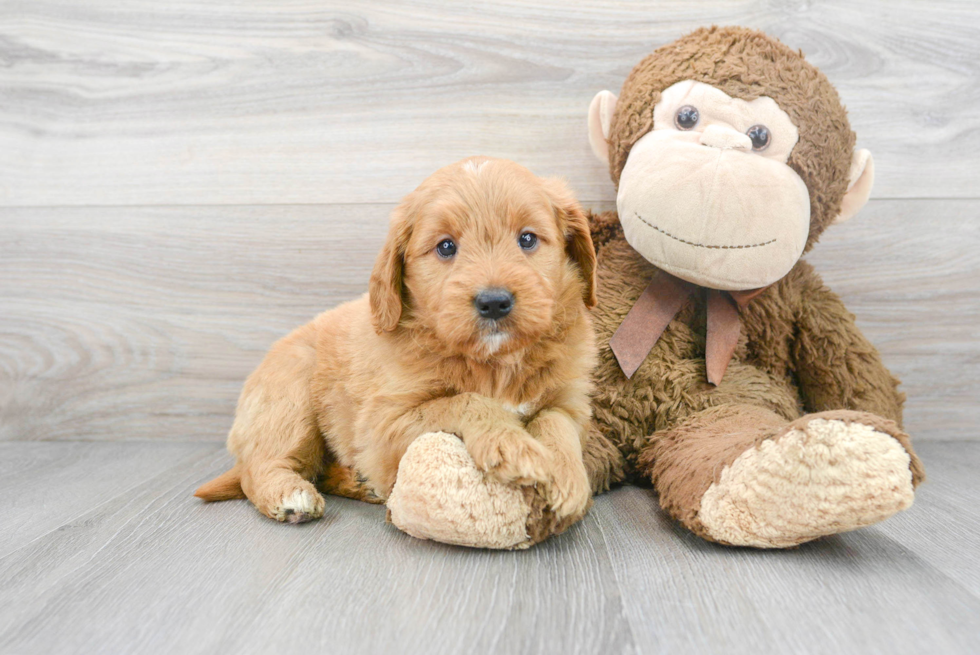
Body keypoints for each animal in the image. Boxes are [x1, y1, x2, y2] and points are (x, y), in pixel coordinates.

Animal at [195, 158, 596, 528]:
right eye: (446, 247)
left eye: (527, 239)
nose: (494, 302)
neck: (494, 362)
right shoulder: (384, 424)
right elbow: (466, 401)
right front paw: (512, 444)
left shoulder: (571, 403)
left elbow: (556, 421)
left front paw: (567, 477)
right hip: (291, 399)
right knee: (260, 467)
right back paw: (289, 495)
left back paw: (357, 482)